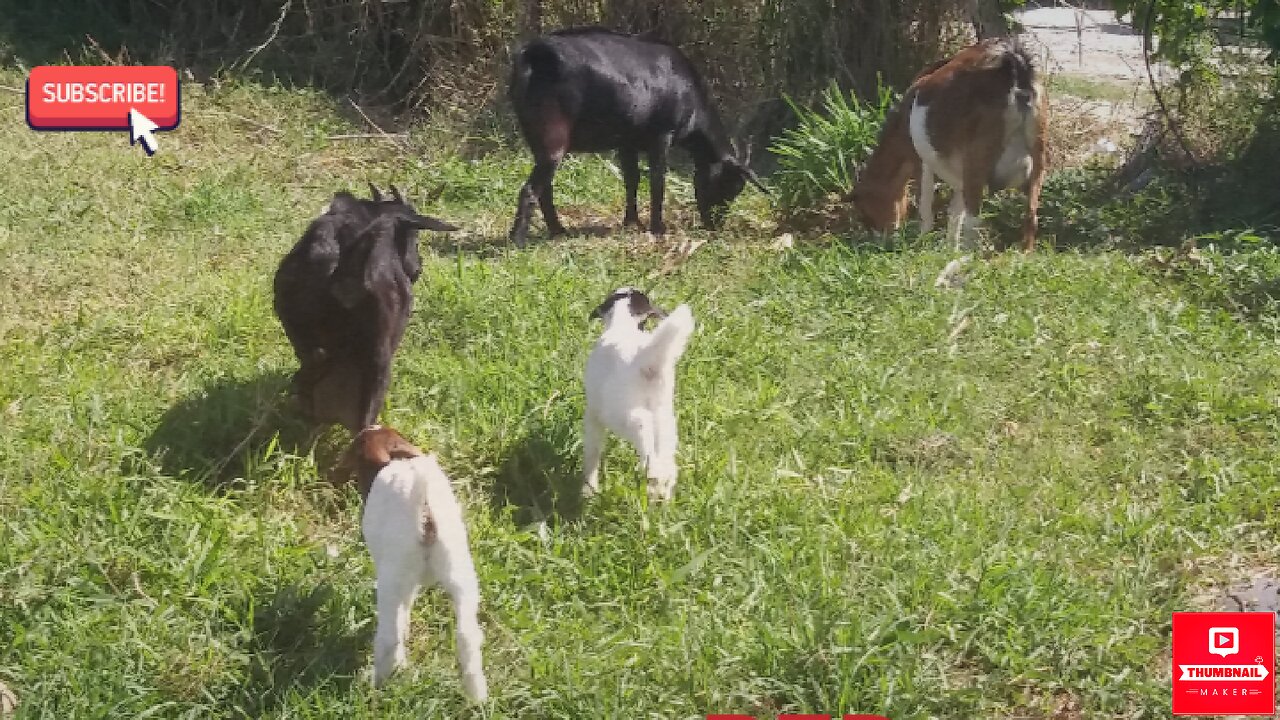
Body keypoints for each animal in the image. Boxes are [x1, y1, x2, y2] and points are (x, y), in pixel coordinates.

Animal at [345, 422, 488, 696]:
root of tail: (425, 509)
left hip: (392, 577)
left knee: (388, 638)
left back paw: (375, 686)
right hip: (460, 573)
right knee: (468, 636)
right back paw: (478, 695)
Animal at [504, 26, 762, 244]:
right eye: (731, 187)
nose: (715, 225)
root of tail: (532, 53)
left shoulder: (626, 141)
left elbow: (632, 179)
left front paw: (631, 221)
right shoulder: (661, 136)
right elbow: (657, 181)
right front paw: (657, 228)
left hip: (536, 138)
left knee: (544, 189)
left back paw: (558, 230)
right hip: (553, 139)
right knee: (530, 190)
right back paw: (518, 240)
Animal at [583, 285, 696, 499]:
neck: (624, 325)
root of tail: (647, 360)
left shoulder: (593, 412)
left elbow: (592, 450)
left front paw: (589, 489)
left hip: (620, 412)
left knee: (641, 427)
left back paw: (651, 473)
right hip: (664, 417)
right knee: (666, 458)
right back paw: (660, 487)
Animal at [849, 40, 1049, 252]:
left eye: (864, 214)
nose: (878, 243)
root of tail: (1016, 76)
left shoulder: (921, 162)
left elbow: (926, 209)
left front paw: (922, 246)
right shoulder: (959, 179)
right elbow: (954, 213)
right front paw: (950, 250)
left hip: (976, 164)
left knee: (973, 220)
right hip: (1038, 158)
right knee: (1030, 217)